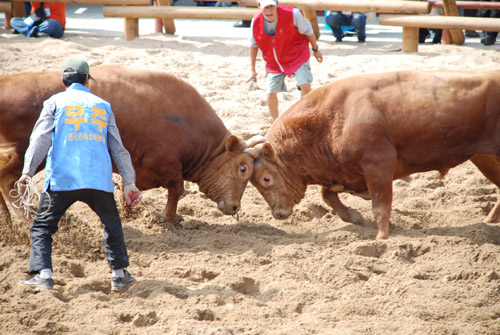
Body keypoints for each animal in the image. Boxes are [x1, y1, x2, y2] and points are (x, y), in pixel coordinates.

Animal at [0, 66, 256, 226]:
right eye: (243, 168)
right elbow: (176, 191)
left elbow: (128, 189)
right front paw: (167, 219)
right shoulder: (167, 164)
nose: (236, 207)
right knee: (7, 180)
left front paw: (129, 214)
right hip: (29, 152)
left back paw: (8, 222)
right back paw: (22, 219)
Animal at [246, 69, 500, 240]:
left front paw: (381, 238)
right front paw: (354, 217)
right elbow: (327, 194)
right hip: (484, 157)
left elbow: (380, 206)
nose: (278, 214)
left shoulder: (379, 166)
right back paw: (489, 221)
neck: (330, 118)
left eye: (266, 178)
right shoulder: (346, 174)